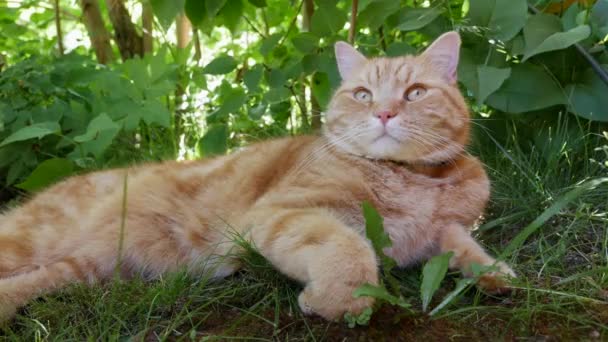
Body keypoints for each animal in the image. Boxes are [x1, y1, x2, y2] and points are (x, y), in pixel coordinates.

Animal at [0, 31, 516, 320]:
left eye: (414, 93)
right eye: (363, 95)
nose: (385, 113)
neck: (415, 181)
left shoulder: (442, 230)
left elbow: (462, 243)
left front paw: (496, 273)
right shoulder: (281, 213)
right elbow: (350, 251)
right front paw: (337, 302)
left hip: (85, 270)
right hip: (30, 241)